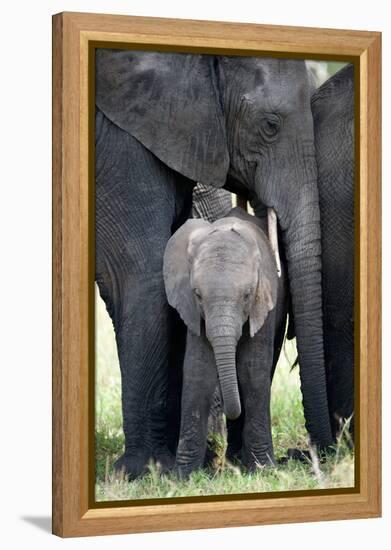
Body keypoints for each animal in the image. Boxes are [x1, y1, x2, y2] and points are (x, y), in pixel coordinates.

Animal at [164, 207, 286, 478]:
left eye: (247, 295)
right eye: (197, 294)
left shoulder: (264, 302)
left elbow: (253, 371)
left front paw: (263, 470)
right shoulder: (193, 311)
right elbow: (198, 370)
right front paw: (182, 477)